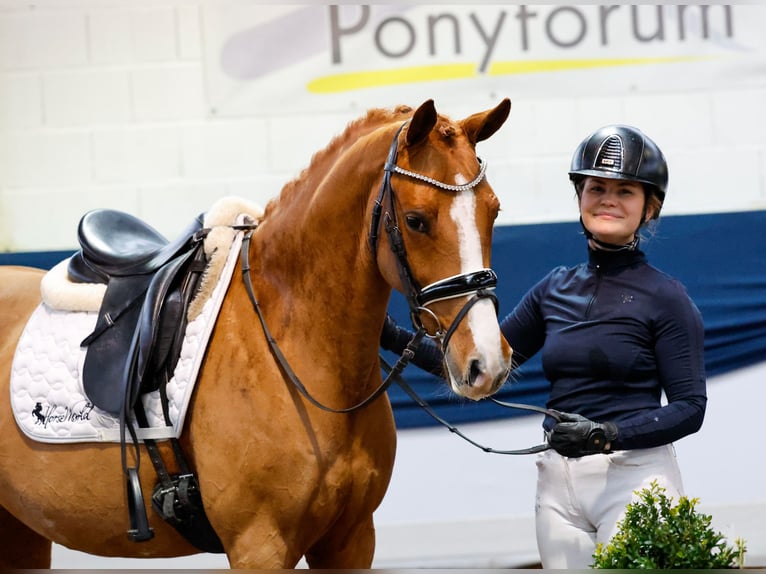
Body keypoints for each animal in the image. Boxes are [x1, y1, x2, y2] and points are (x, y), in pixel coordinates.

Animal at [3, 100, 516, 572]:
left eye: (493, 211)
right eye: (415, 220)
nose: (487, 363)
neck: (293, 344)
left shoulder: (351, 539)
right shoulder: (259, 546)